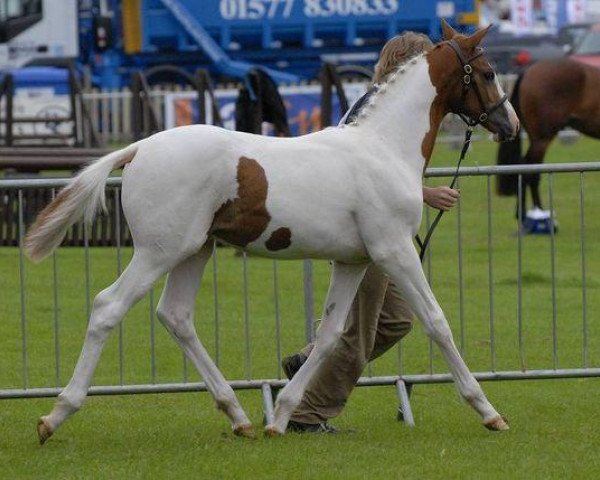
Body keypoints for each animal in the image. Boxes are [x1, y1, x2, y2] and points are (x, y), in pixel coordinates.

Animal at [25, 21, 516, 442]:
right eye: (488, 73)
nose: (509, 124)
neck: (383, 148)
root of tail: (140, 147)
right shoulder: (394, 250)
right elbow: (437, 322)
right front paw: (489, 411)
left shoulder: (354, 261)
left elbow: (330, 335)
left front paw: (280, 418)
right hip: (157, 252)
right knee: (108, 307)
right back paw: (55, 415)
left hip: (195, 250)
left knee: (176, 316)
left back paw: (239, 417)